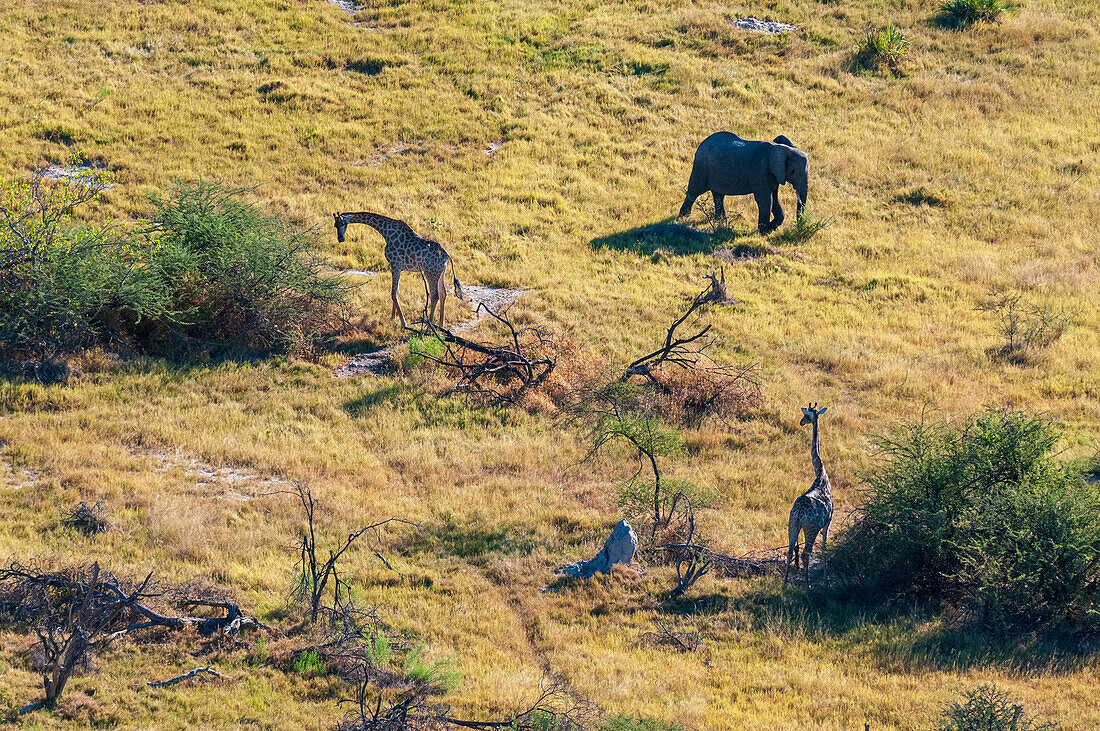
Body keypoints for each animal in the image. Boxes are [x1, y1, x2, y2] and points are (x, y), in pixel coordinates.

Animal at [330, 209, 459, 325]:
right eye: (335, 225)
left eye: (342, 224)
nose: (340, 239)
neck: (386, 232)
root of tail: (446, 254)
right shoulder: (397, 267)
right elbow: (396, 291)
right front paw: (393, 318)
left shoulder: (395, 264)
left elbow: (393, 293)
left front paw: (403, 322)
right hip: (440, 272)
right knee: (443, 294)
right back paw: (441, 325)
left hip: (430, 272)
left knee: (435, 296)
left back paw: (429, 327)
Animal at [677, 131, 809, 234]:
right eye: (793, 171)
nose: (799, 226)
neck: (779, 148)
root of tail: (701, 144)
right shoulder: (760, 171)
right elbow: (766, 200)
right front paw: (762, 233)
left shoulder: (775, 174)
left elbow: (774, 199)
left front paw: (768, 229)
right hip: (701, 167)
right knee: (694, 191)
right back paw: (683, 219)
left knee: (718, 195)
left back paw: (722, 222)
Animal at [783, 402, 831, 584]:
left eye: (808, 415)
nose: (801, 422)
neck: (821, 473)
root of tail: (799, 514)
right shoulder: (828, 521)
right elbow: (825, 545)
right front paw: (826, 576)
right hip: (810, 529)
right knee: (805, 554)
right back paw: (807, 584)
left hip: (792, 525)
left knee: (790, 551)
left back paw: (784, 584)